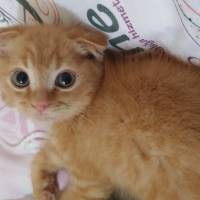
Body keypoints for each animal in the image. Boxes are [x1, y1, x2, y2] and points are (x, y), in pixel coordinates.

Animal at [0, 23, 199, 200]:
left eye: (65, 79)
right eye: (21, 78)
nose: (40, 104)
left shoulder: (90, 186)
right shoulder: (60, 149)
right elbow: (40, 159)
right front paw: (44, 190)